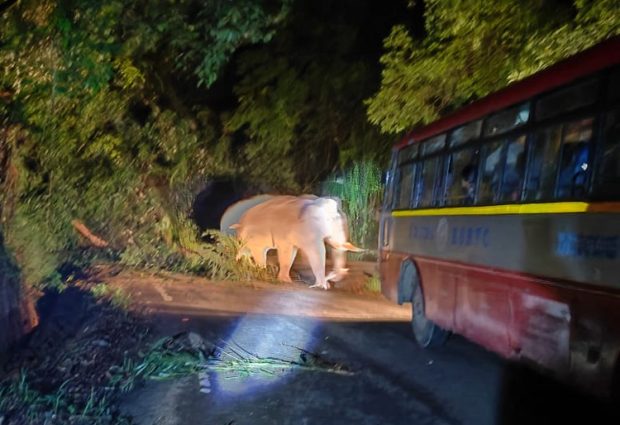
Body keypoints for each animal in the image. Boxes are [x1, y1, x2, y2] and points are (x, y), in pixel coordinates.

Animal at [231, 195, 364, 288]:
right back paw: (260, 272)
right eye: (331, 222)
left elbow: (293, 253)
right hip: (255, 236)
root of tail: (239, 223)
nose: (332, 276)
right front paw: (322, 286)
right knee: (258, 252)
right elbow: (316, 252)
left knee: (247, 251)